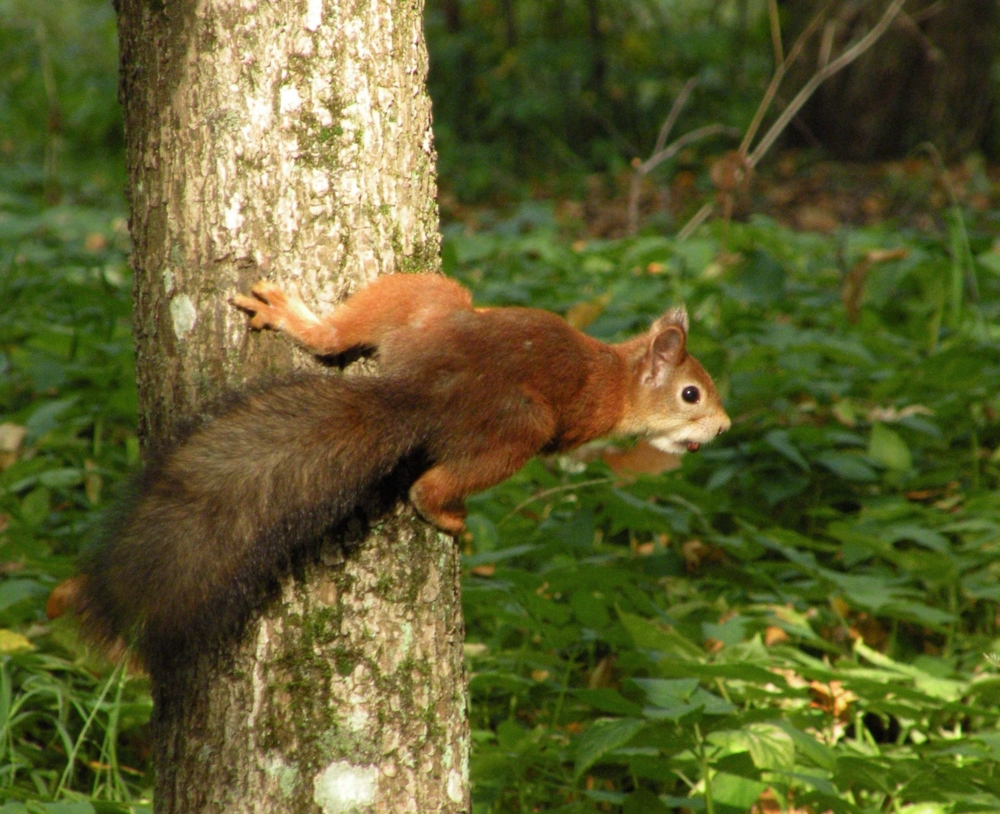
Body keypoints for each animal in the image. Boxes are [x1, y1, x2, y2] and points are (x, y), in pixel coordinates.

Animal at [70, 276, 728, 676]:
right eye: (691, 394)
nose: (723, 427)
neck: (618, 376)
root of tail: (421, 390)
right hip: (516, 426)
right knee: (428, 486)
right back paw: (448, 513)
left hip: (424, 303)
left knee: (336, 337)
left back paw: (293, 318)